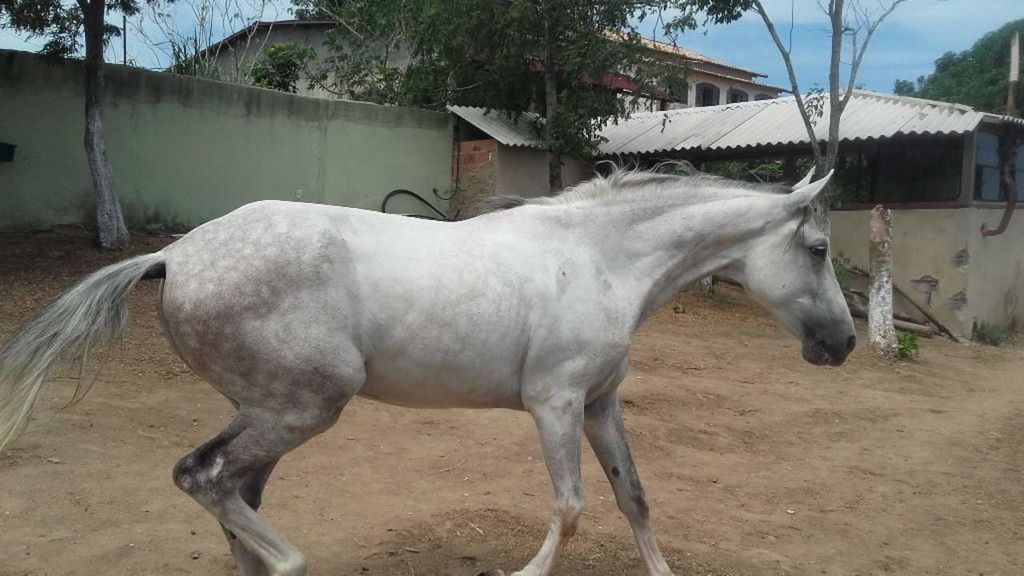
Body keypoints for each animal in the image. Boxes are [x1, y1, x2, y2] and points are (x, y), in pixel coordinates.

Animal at [0, 168, 851, 573]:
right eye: (818, 250)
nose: (842, 344)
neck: (600, 259)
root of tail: (174, 257)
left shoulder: (601, 405)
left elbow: (633, 499)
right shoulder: (556, 405)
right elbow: (572, 507)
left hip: (269, 412)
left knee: (231, 492)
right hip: (302, 406)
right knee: (202, 478)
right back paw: (292, 563)